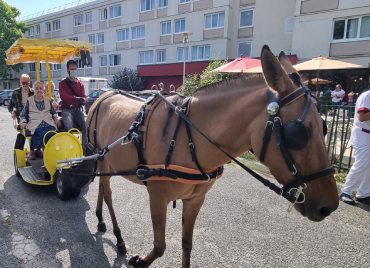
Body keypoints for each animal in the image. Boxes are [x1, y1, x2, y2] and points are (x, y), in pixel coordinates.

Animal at [86, 46, 338, 268]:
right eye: (299, 133)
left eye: (325, 127)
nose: (329, 206)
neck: (189, 138)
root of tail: (103, 95)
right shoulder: (157, 197)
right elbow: (160, 246)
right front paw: (140, 260)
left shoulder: (196, 200)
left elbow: (187, 244)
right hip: (101, 157)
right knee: (108, 195)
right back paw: (118, 237)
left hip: (107, 160)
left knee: (101, 188)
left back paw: (100, 219)